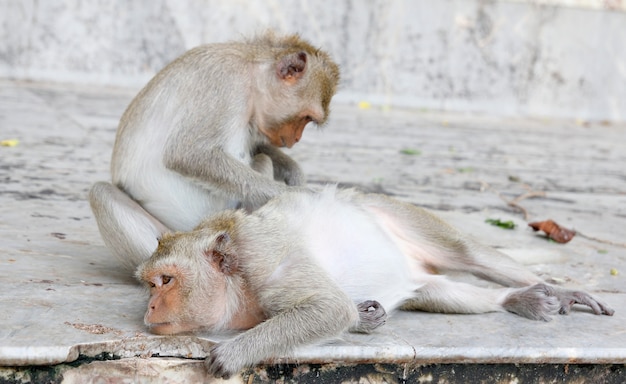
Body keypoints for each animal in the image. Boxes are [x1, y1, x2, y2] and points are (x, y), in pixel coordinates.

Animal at [89, 31, 336, 268]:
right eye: (306, 118)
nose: (296, 139)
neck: (251, 72)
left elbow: (257, 146)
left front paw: (293, 171)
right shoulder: (225, 83)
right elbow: (188, 154)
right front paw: (299, 195)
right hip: (174, 233)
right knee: (101, 193)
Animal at [134, 185, 612, 378]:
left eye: (165, 280)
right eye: (149, 285)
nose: (150, 308)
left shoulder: (263, 259)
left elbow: (329, 308)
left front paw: (232, 354)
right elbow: (341, 311)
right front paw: (364, 318)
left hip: (400, 215)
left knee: (468, 254)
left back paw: (552, 289)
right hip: (424, 281)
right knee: (450, 296)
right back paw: (514, 299)